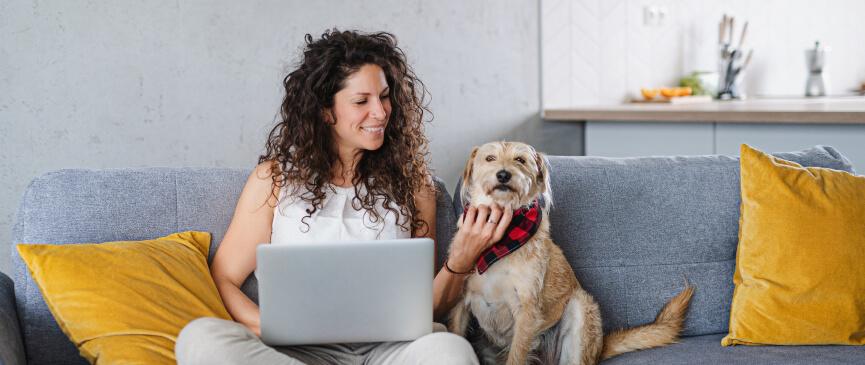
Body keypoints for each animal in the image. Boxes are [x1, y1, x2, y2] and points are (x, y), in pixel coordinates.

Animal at [448, 141, 692, 362]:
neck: (502, 241)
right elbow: (455, 333)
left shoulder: (527, 311)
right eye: (489, 158)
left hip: (580, 308)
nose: (503, 175)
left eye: (520, 160)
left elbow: (516, 355)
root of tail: (600, 348)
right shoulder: (459, 304)